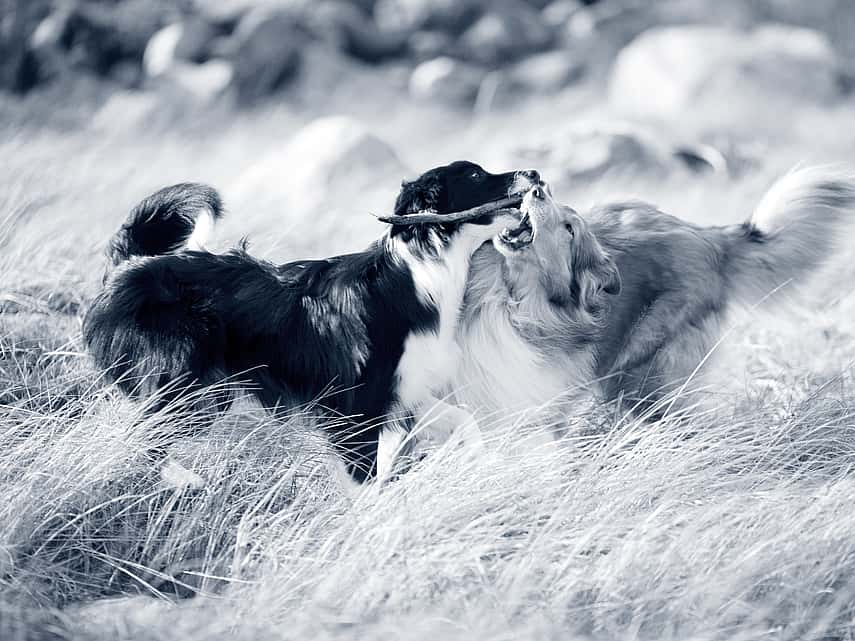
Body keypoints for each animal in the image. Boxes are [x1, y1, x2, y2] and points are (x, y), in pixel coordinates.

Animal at [83, 160, 540, 480]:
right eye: (477, 174)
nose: (534, 172)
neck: (420, 267)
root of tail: (129, 265)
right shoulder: (355, 411)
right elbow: (366, 485)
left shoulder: (402, 391)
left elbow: (465, 422)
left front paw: (483, 464)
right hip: (184, 387)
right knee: (143, 442)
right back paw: (184, 482)